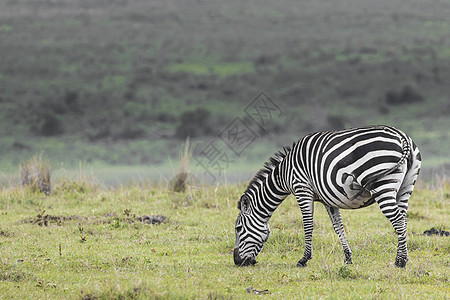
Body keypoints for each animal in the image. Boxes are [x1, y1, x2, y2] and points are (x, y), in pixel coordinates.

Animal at [234, 125, 420, 268]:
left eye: (238, 229)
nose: (237, 261)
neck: (284, 174)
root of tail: (402, 137)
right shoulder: (328, 199)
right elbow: (338, 227)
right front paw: (348, 258)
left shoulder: (302, 188)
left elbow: (308, 225)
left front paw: (304, 259)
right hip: (405, 187)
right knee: (403, 219)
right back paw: (401, 258)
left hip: (382, 184)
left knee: (397, 220)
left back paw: (401, 262)